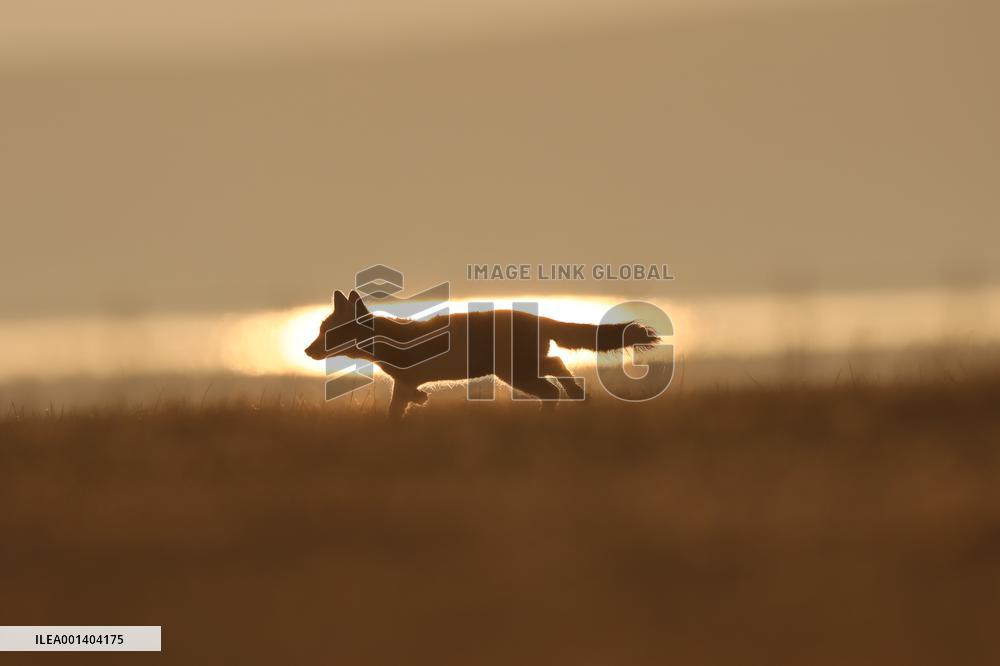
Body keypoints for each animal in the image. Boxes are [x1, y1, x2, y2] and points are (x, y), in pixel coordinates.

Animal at [304, 289, 660, 418]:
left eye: (327, 333)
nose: (307, 351)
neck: (391, 339)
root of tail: (538, 318)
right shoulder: (406, 382)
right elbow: (402, 405)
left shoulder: (406, 380)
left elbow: (396, 409)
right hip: (526, 365)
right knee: (559, 367)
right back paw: (579, 396)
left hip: (516, 373)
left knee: (551, 387)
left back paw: (553, 410)